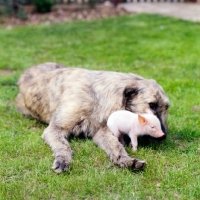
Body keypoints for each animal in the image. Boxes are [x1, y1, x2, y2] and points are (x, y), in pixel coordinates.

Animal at [15, 63, 170, 173]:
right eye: (152, 104)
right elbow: (63, 145)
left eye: (166, 108)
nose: (164, 136)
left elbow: (115, 146)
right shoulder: (55, 128)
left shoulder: (101, 131)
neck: (97, 97)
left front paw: (126, 160)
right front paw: (63, 160)